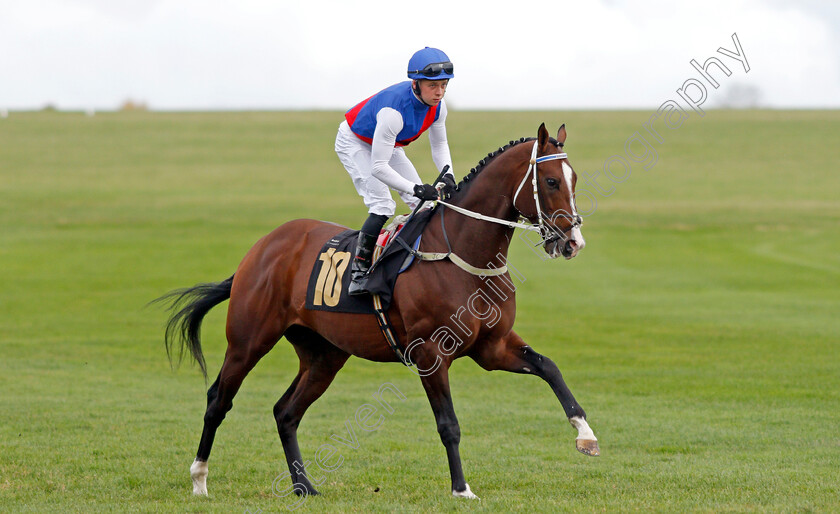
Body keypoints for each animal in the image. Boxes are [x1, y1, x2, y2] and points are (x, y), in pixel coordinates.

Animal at [158, 122, 600, 498]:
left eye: (575, 179)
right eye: (551, 181)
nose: (573, 242)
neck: (462, 253)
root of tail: (261, 248)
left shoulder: (493, 347)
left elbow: (549, 367)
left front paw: (586, 435)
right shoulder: (430, 352)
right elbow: (449, 424)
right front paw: (461, 489)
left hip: (324, 355)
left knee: (285, 411)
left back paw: (304, 487)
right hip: (249, 341)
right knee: (218, 400)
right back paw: (199, 480)